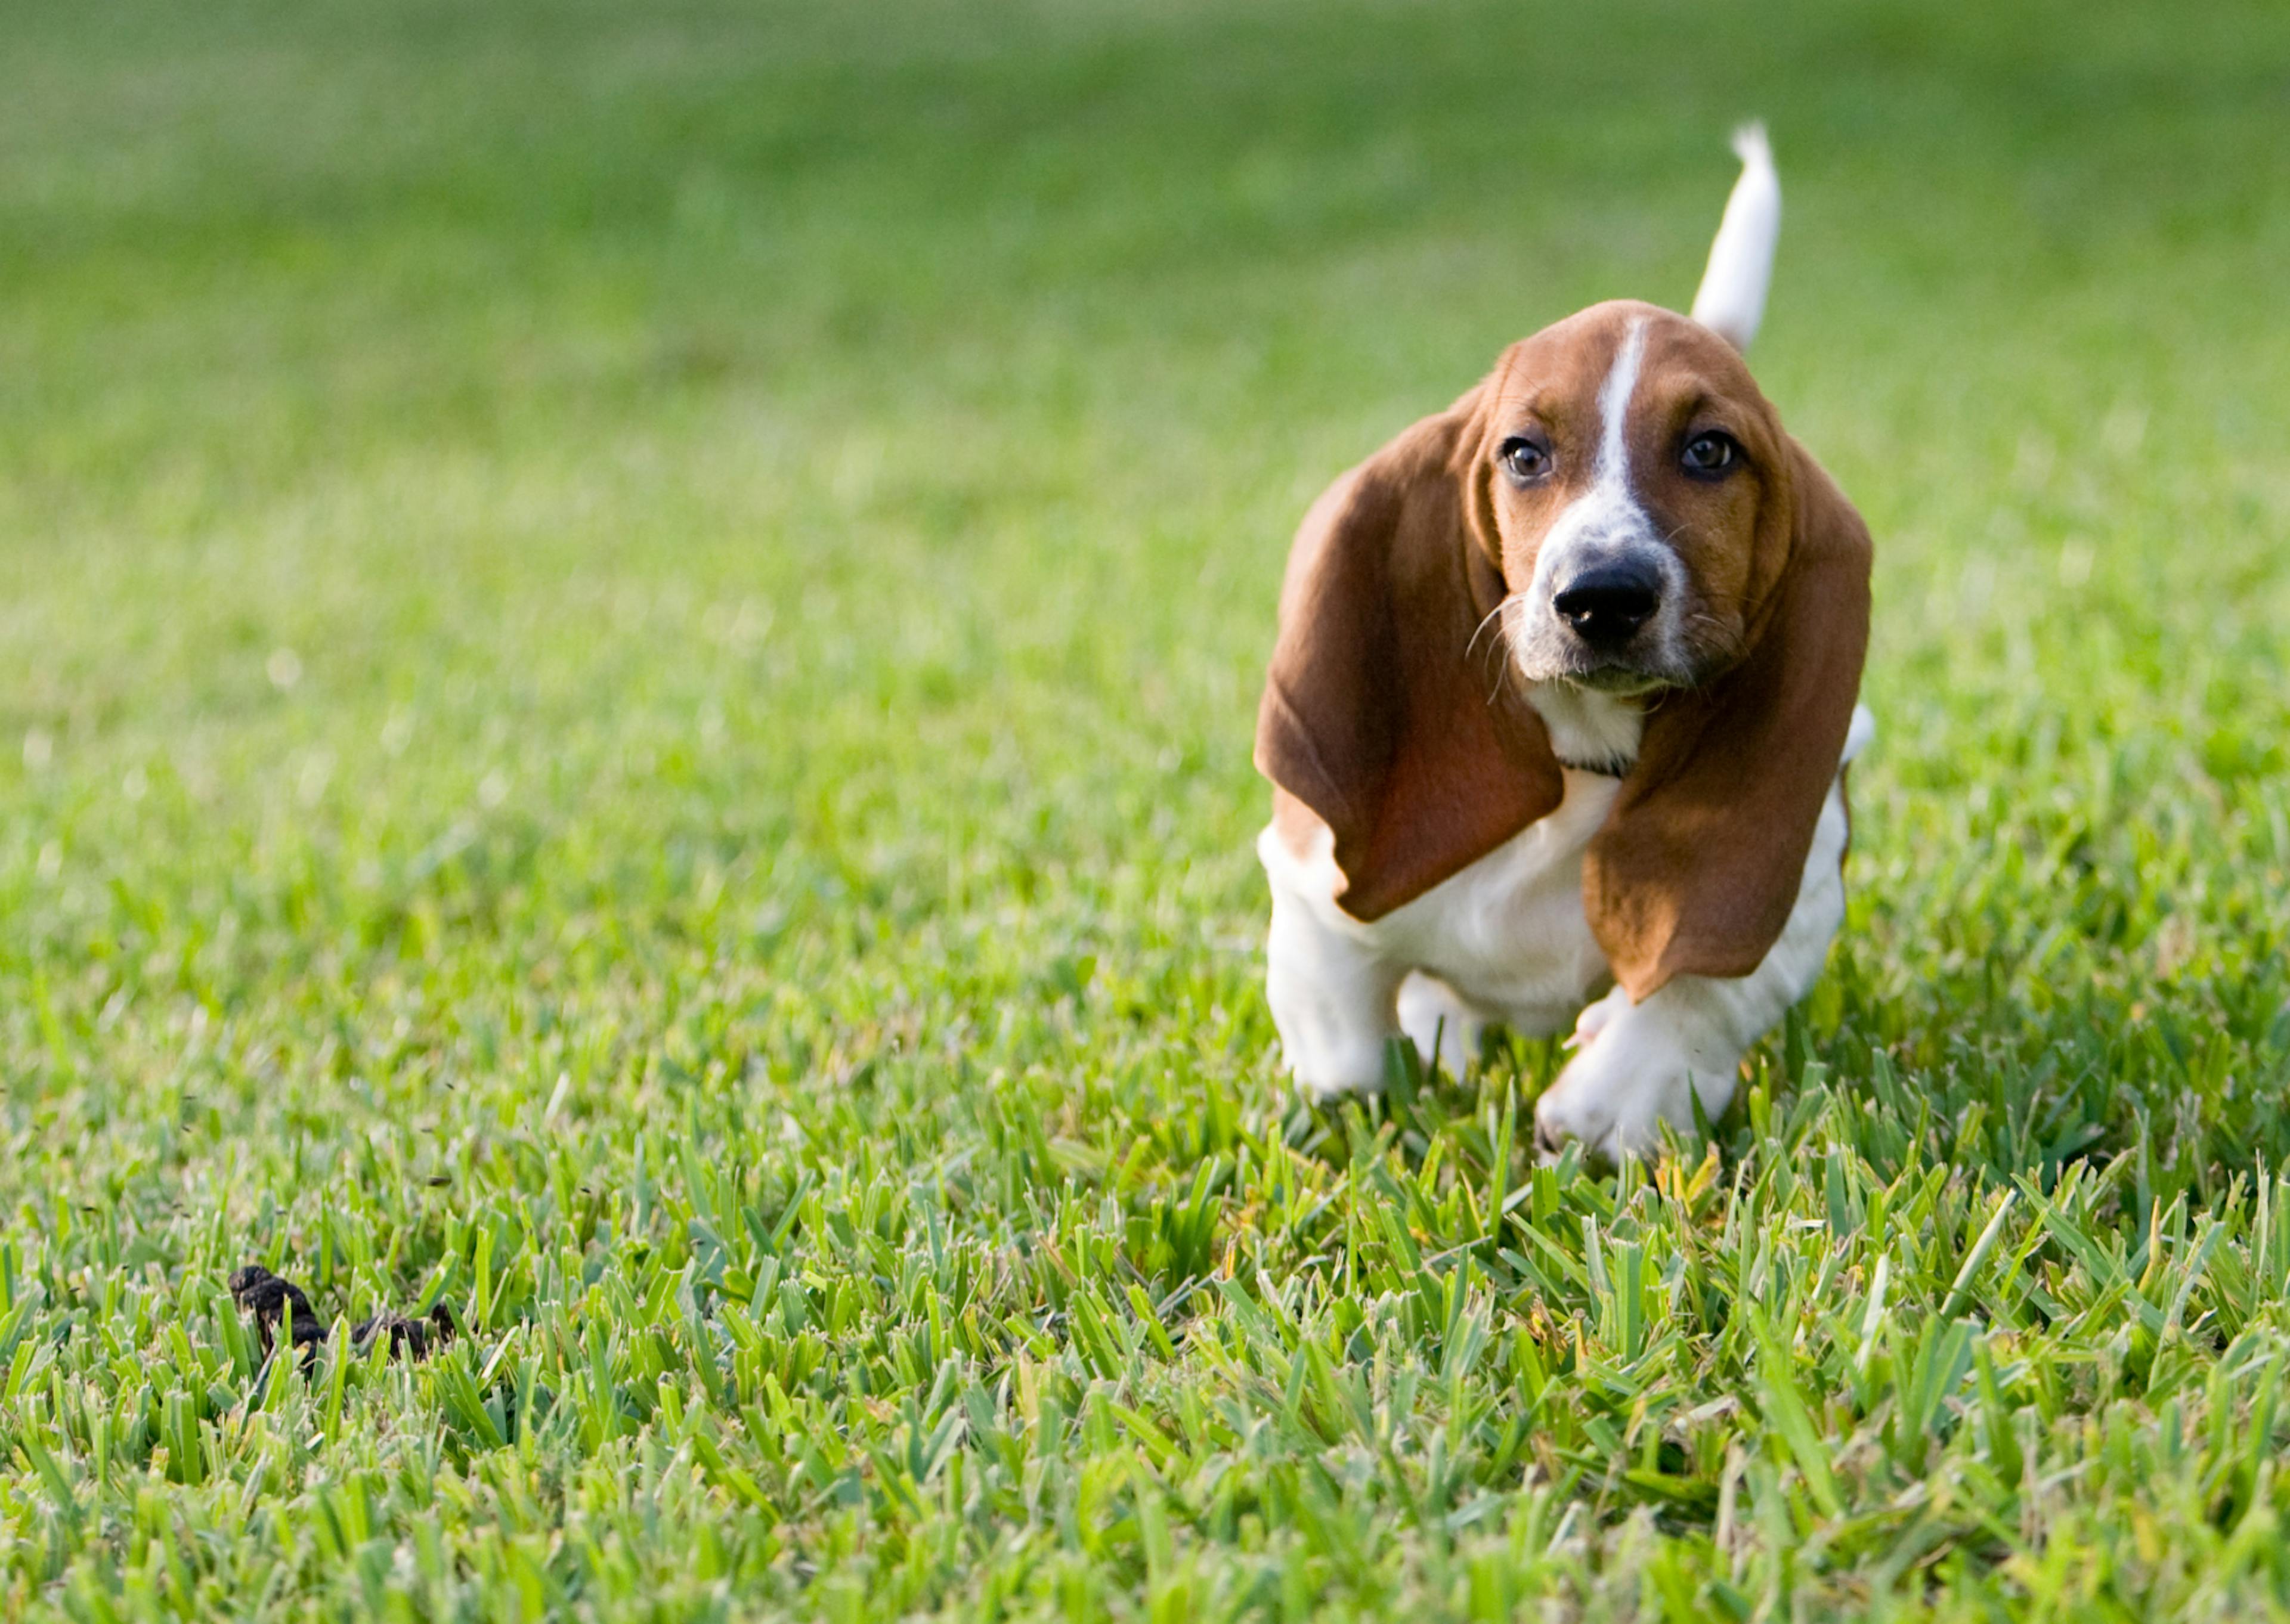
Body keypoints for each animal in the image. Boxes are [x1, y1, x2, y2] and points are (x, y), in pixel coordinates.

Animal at [1255, 132, 1877, 1159]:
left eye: (1711, 451)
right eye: (1523, 454)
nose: (1602, 598)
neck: (1586, 758)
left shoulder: (1802, 873)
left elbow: (1709, 979)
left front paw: (1611, 1096)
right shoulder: (1314, 884)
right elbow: (1343, 1050)